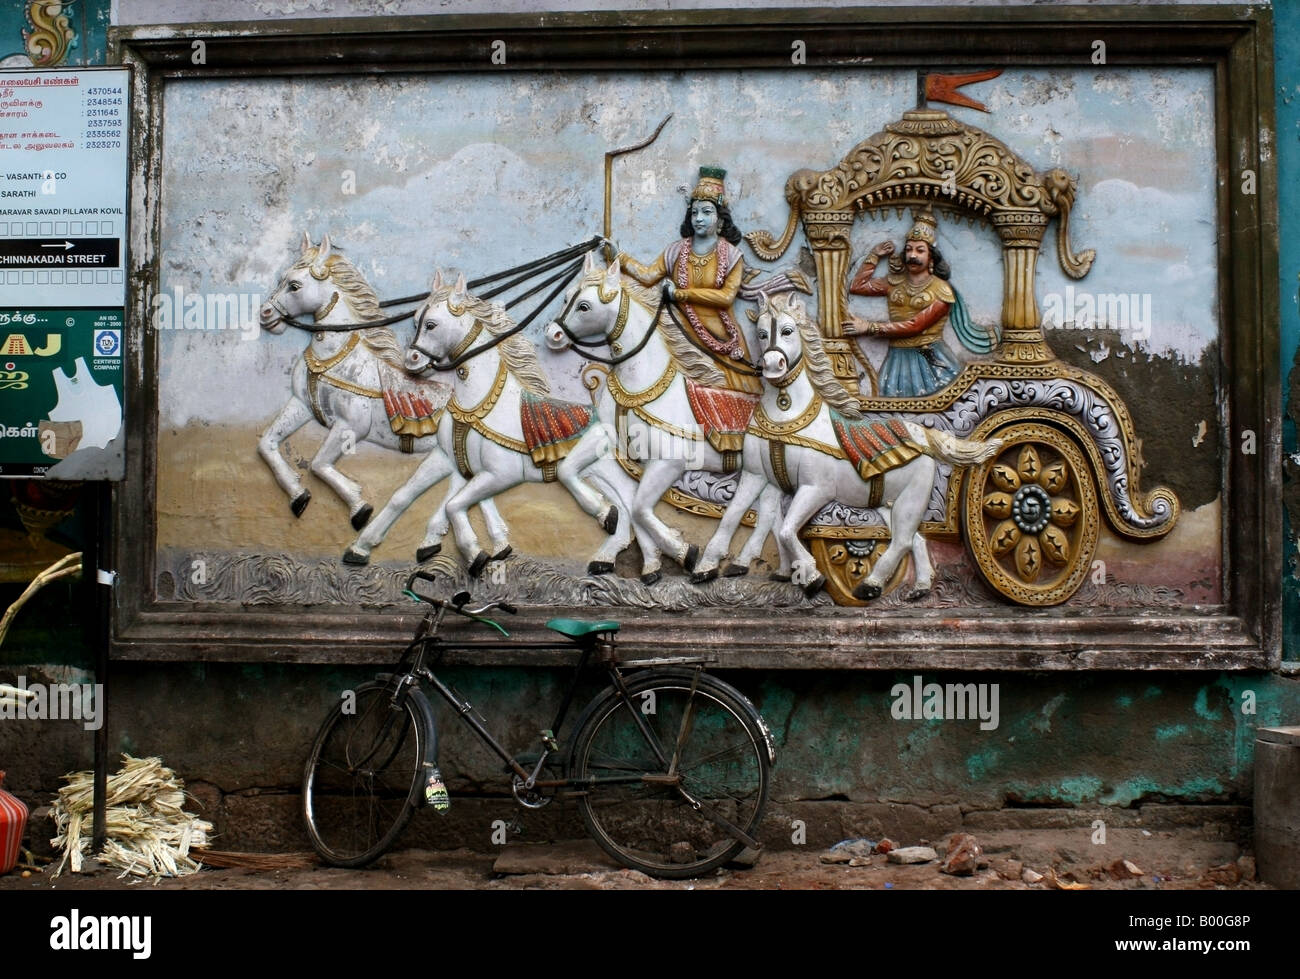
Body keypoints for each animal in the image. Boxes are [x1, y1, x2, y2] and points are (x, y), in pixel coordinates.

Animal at [260, 231, 512, 556]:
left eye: (294, 285)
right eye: (280, 278)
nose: (265, 315)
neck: (336, 357)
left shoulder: (352, 426)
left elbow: (318, 463)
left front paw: (359, 506)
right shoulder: (302, 404)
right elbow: (267, 444)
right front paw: (297, 494)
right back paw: (486, 542)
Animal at [390, 269, 639, 572]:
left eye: (431, 325)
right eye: (414, 320)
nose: (412, 360)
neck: (477, 404)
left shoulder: (502, 473)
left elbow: (453, 505)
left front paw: (475, 553)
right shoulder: (457, 461)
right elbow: (449, 501)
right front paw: (481, 548)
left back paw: (611, 523)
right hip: (602, 473)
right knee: (628, 507)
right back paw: (612, 554)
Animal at [540, 253, 780, 587]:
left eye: (584, 306)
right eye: (565, 298)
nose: (554, 334)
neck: (641, 385)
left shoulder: (669, 462)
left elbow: (641, 507)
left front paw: (683, 551)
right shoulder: (609, 435)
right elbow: (567, 470)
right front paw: (606, 515)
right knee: (772, 513)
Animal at [702, 292, 993, 595]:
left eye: (788, 331)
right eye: (760, 334)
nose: (772, 365)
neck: (785, 413)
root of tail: (923, 434)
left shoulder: (816, 488)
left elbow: (785, 531)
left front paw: (812, 576)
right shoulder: (756, 475)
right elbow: (734, 515)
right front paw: (706, 566)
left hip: (913, 496)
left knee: (902, 540)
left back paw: (871, 584)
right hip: (888, 502)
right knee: (915, 539)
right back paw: (920, 586)